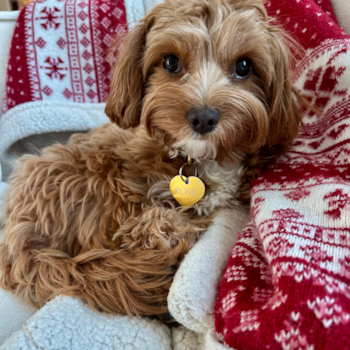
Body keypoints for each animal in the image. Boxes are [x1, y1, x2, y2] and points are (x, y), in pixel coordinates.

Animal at [0, 0, 300, 318]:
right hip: (92, 176)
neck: (201, 158)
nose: (204, 117)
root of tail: (19, 238)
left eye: (244, 66)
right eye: (170, 62)